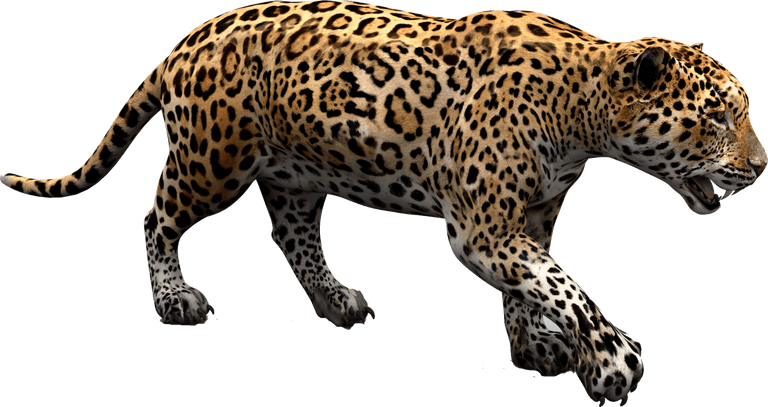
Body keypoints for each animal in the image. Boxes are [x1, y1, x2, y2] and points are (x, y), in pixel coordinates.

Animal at [2, 1, 765, 405]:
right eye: (719, 117)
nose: (760, 167)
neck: (580, 108)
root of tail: (191, 36)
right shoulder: (483, 227)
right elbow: (562, 285)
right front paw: (610, 361)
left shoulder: (530, 216)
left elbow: (531, 285)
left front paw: (536, 347)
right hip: (211, 161)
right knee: (156, 218)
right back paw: (174, 299)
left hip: (296, 173)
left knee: (292, 235)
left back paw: (335, 299)